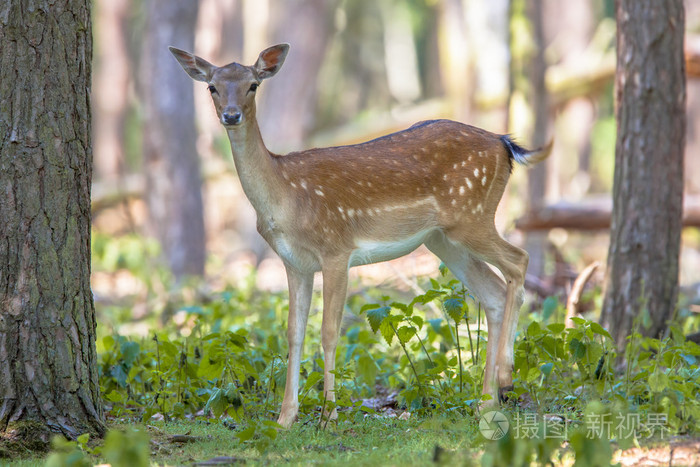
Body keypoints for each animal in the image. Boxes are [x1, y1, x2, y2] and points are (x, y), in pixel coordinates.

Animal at [170, 43, 552, 428]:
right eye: (212, 87)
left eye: (253, 85)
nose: (231, 115)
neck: (285, 198)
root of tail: (504, 143)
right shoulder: (295, 263)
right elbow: (293, 332)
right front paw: (285, 418)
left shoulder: (336, 249)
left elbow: (328, 331)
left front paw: (328, 416)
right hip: (443, 239)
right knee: (493, 293)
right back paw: (487, 403)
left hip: (472, 217)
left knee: (519, 261)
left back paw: (505, 376)